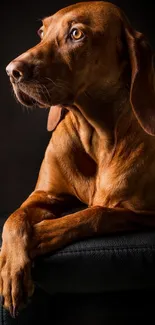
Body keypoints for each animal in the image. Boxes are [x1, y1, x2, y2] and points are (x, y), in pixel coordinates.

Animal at [2, 0, 155, 316]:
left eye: (76, 34)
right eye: (41, 31)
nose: (11, 71)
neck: (95, 134)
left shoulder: (144, 214)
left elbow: (95, 214)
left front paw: (41, 234)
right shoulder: (43, 196)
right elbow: (13, 218)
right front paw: (11, 267)